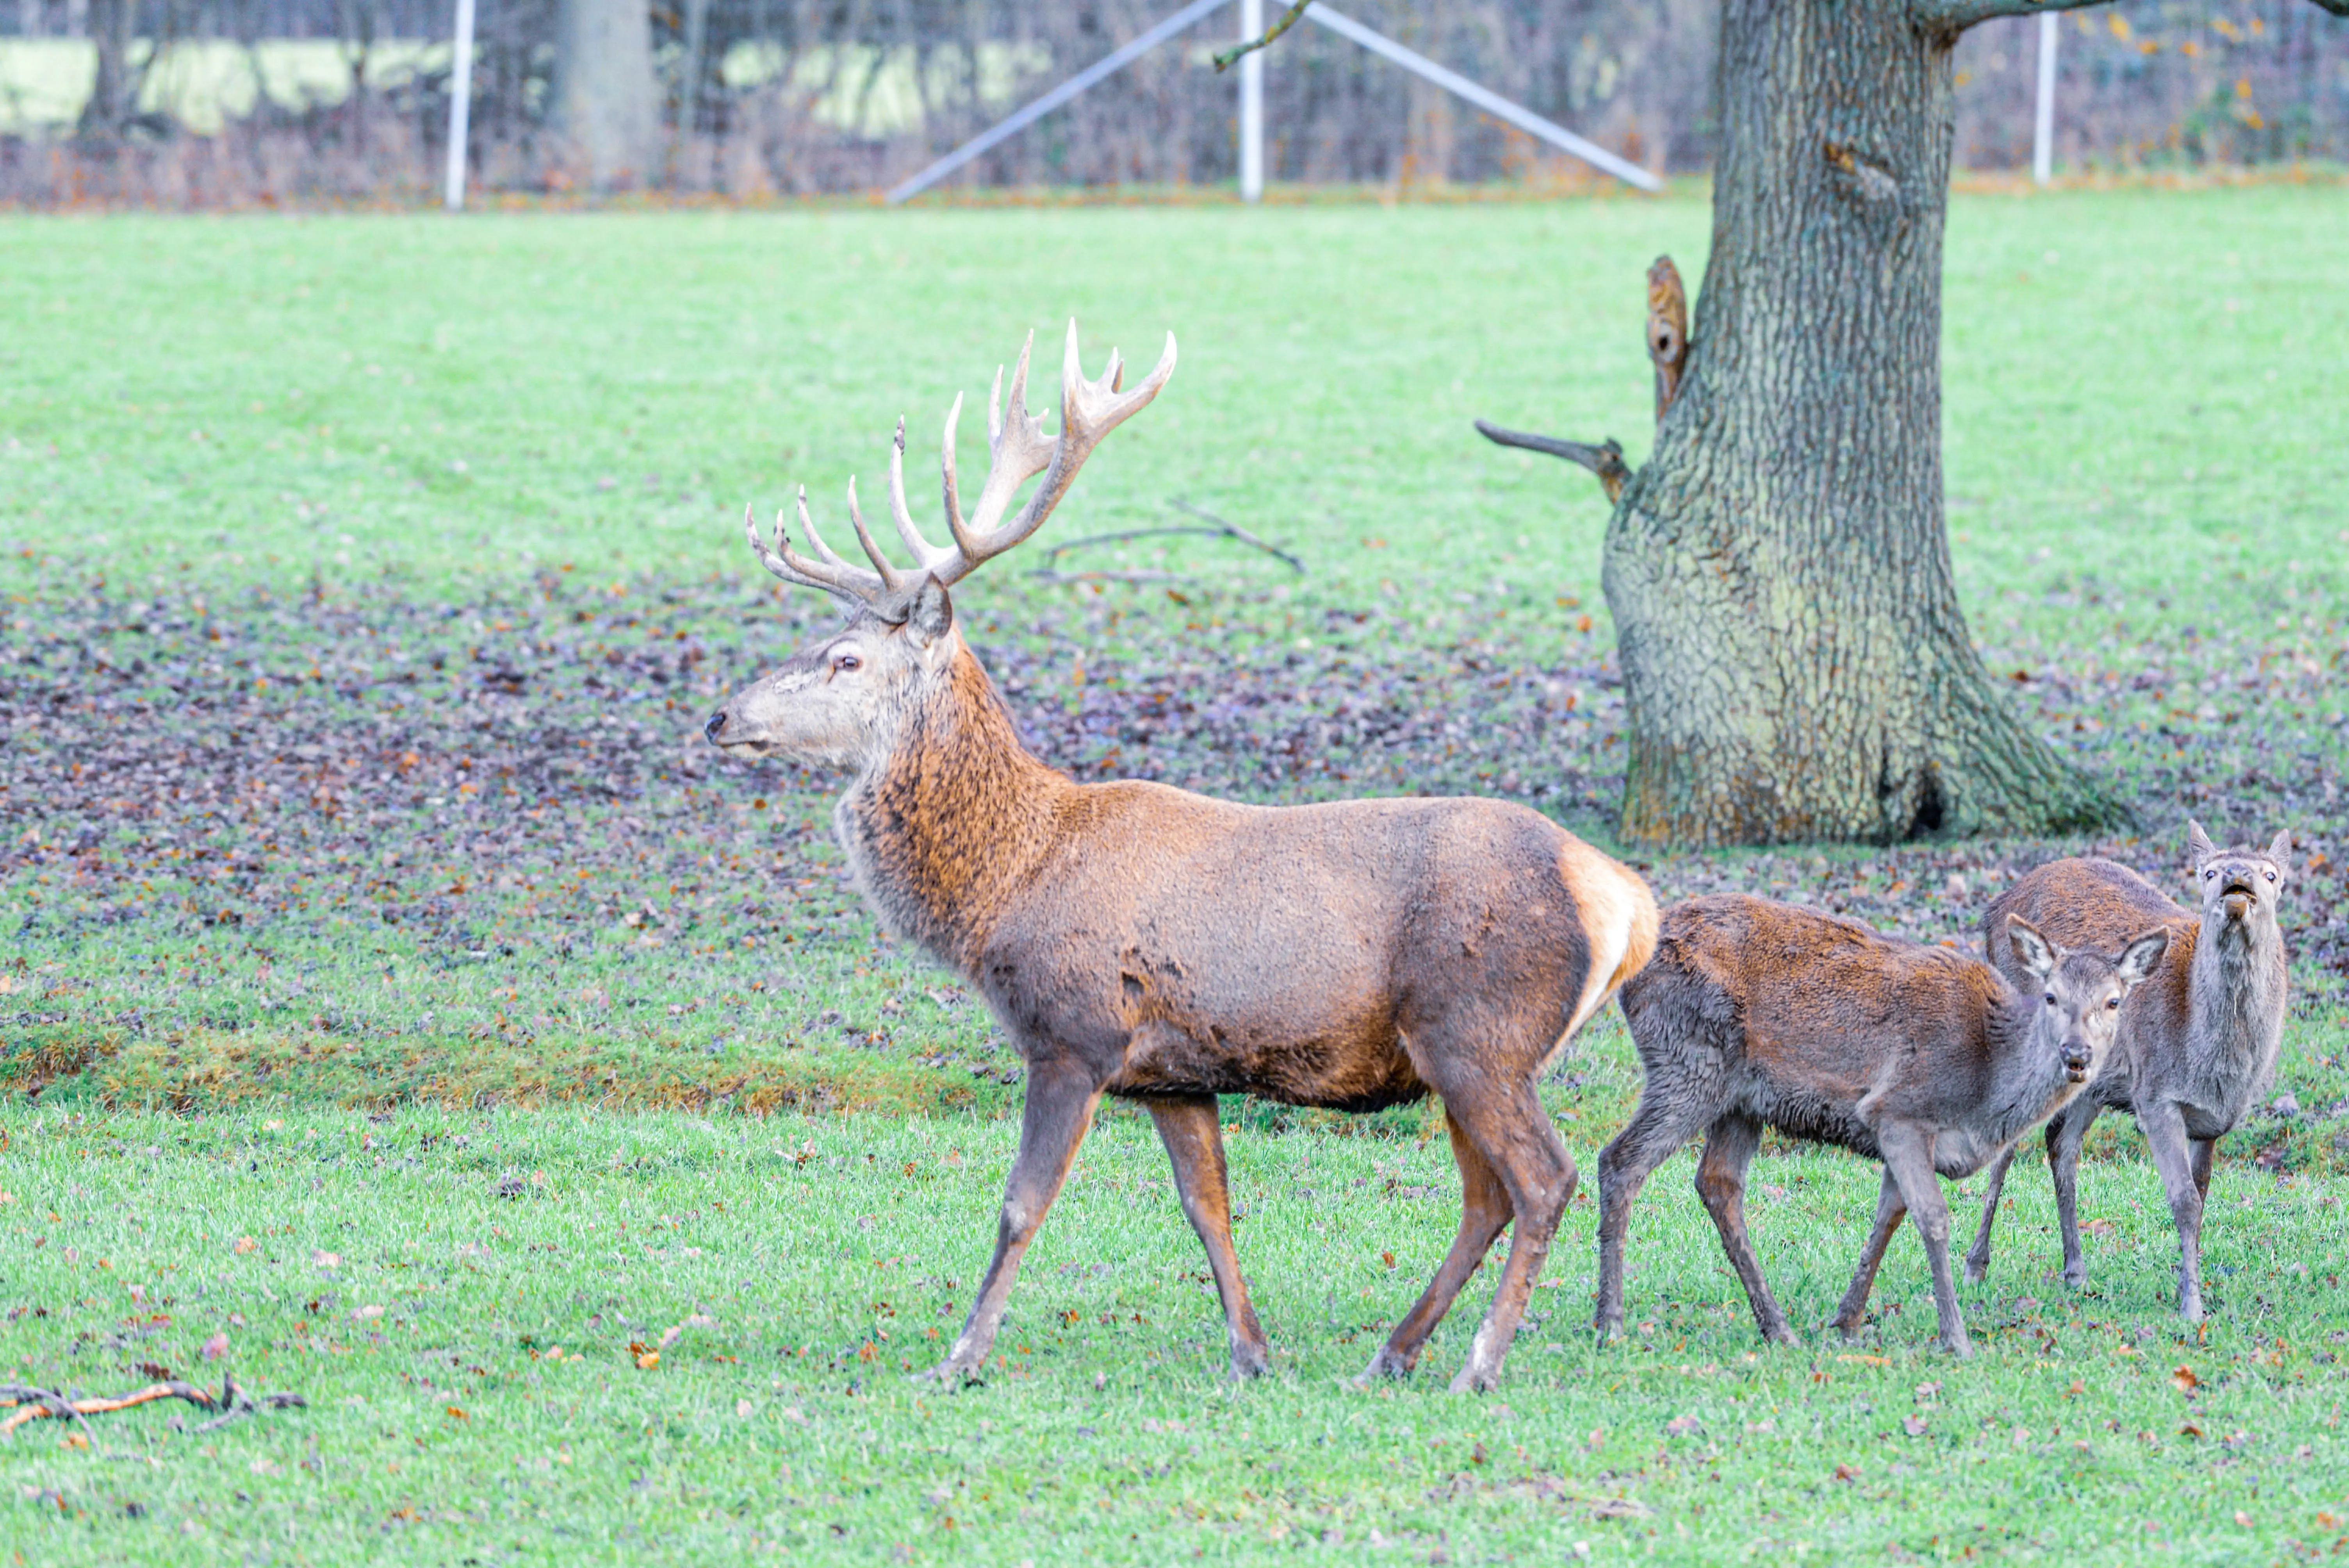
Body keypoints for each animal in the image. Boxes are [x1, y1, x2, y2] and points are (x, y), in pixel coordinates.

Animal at [703, 323, 1659, 1392]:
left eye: (845, 659)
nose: (721, 716)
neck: (1005, 885)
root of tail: (1626, 900)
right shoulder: (1173, 1074)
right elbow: (1208, 1206)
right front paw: (1250, 1350)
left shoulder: (1071, 1032)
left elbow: (1019, 1203)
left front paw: (958, 1357)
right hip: (1457, 1049)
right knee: (1484, 1196)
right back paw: (1392, 1352)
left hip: (1481, 1028)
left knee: (1542, 1178)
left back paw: (1477, 1362)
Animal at [1594, 894, 2167, 1356]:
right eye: (2051, 997)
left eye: (2113, 1001)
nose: (2076, 1055)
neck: (1984, 1092)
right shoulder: (1898, 1109)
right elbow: (1932, 1218)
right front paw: (1955, 1339)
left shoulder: (1900, 1133)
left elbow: (1889, 1215)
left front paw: (1846, 1321)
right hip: (1689, 1061)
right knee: (1620, 1160)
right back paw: (1611, 1324)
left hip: (1740, 1101)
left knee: (1717, 1183)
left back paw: (1778, 1327)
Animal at [1962, 823, 2293, 1321]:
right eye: (2209, 871)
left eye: (2271, 874)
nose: (2237, 875)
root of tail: (1993, 908)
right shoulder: (2154, 1095)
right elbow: (2183, 1200)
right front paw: (2191, 1306)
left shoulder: (2211, 1118)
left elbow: (2202, 1194)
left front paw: (2187, 1286)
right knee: (2006, 1146)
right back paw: (1976, 1265)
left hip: (2092, 1081)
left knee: (2061, 1146)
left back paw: (2075, 1271)